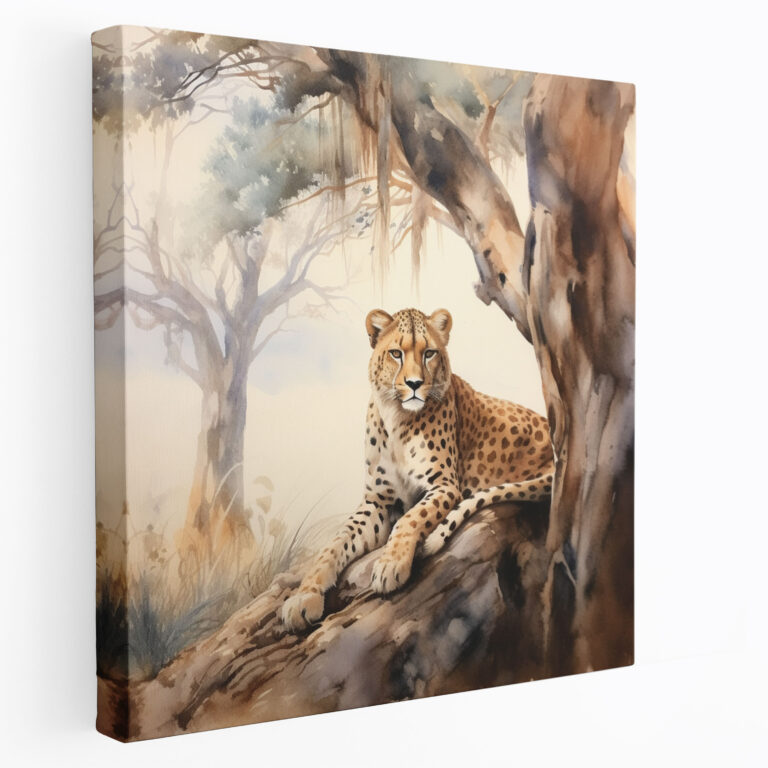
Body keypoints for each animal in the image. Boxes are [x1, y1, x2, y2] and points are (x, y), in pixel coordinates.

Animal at [280, 307, 554, 632]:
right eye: (396, 353)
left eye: (429, 353)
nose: (414, 384)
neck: (397, 418)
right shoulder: (377, 502)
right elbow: (335, 543)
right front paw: (304, 596)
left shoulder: (444, 486)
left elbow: (410, 519)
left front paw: (390, 565)